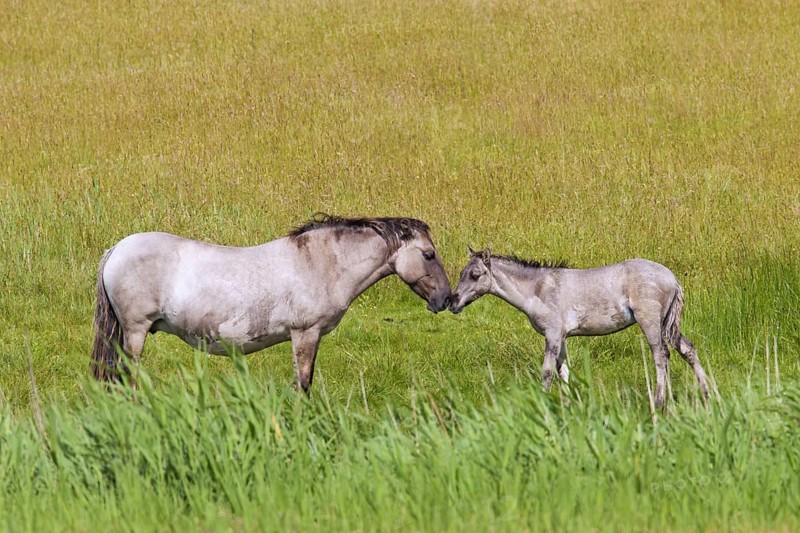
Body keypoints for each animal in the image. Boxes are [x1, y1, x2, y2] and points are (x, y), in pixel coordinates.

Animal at [91, 215, 452, 392]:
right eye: (428, 255)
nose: (445, 299)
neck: (320, 263)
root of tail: (116, 250)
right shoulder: (305, 333)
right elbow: (302, 384)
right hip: (135, 332)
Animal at [449, 248, 709, 407]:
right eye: (462, 273)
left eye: (475, 275)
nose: (452, 302)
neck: (538, 288)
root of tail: (672, 278)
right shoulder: (562, 337)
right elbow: (563, 370)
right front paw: (568, 406)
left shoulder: (553, 334)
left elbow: (548, 371)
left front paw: (543, 404)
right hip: (668, 325)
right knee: (688, 350)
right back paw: (707, 395)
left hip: (650, 322)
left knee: (660, 356)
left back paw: (659, 402)